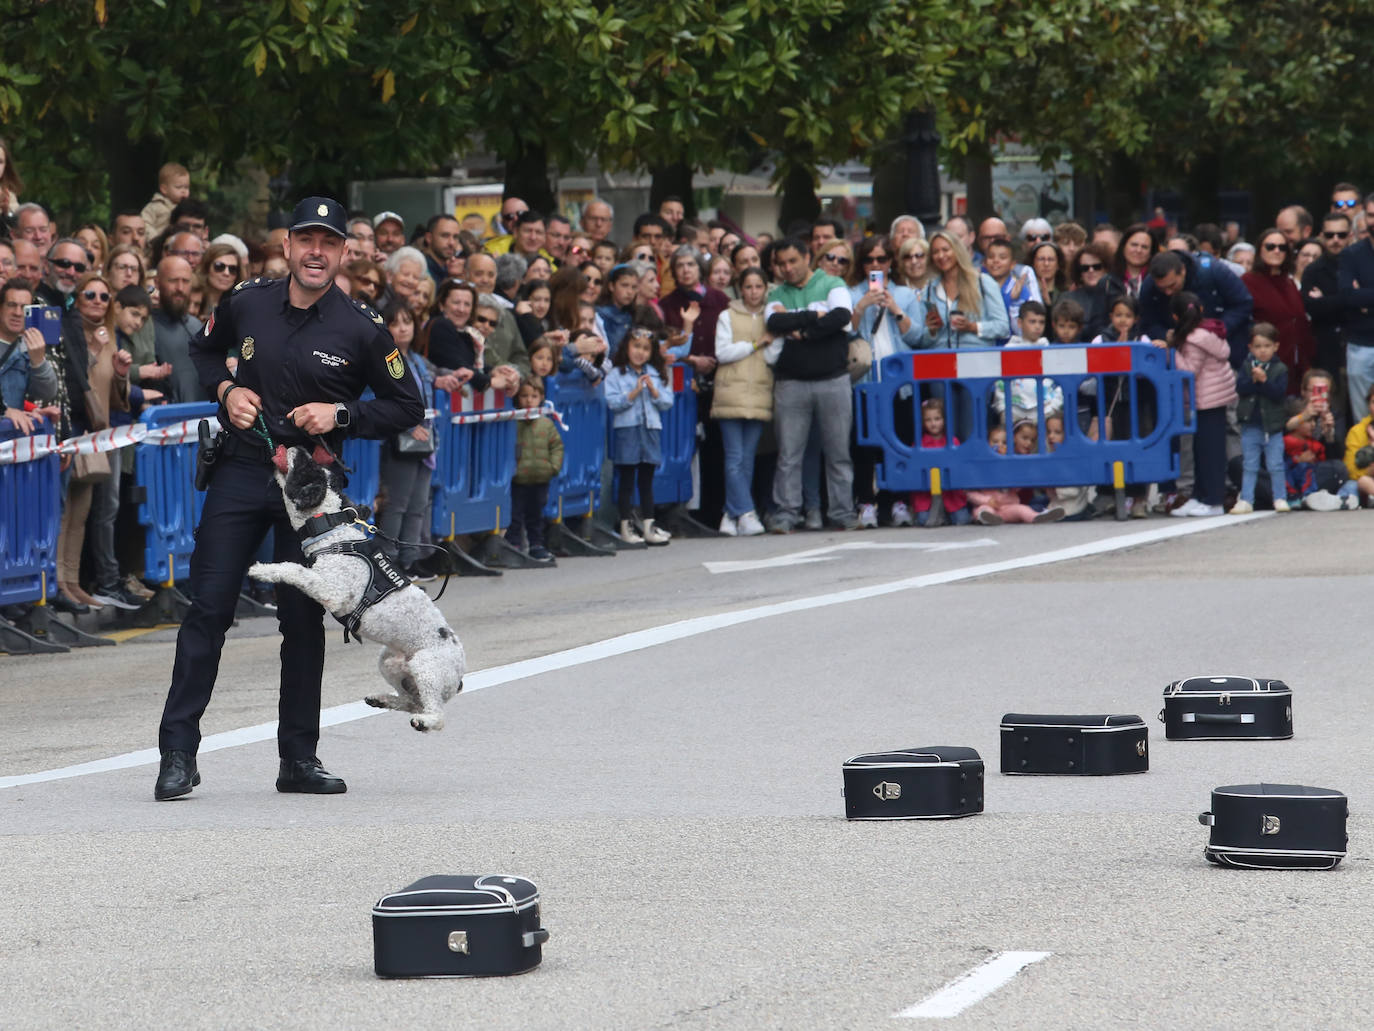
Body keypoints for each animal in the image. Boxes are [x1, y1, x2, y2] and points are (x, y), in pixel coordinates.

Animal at [254, 448, 472, 731]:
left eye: (306, 468)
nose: (298, 448)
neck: (333, 533)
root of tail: (459, 677)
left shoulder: (332, 591)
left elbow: (295, 570)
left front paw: (262, 570)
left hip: (426, 667)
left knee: (435, 714)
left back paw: (425, 721)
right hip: (390, 663)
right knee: (411, 701)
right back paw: (382, 700)